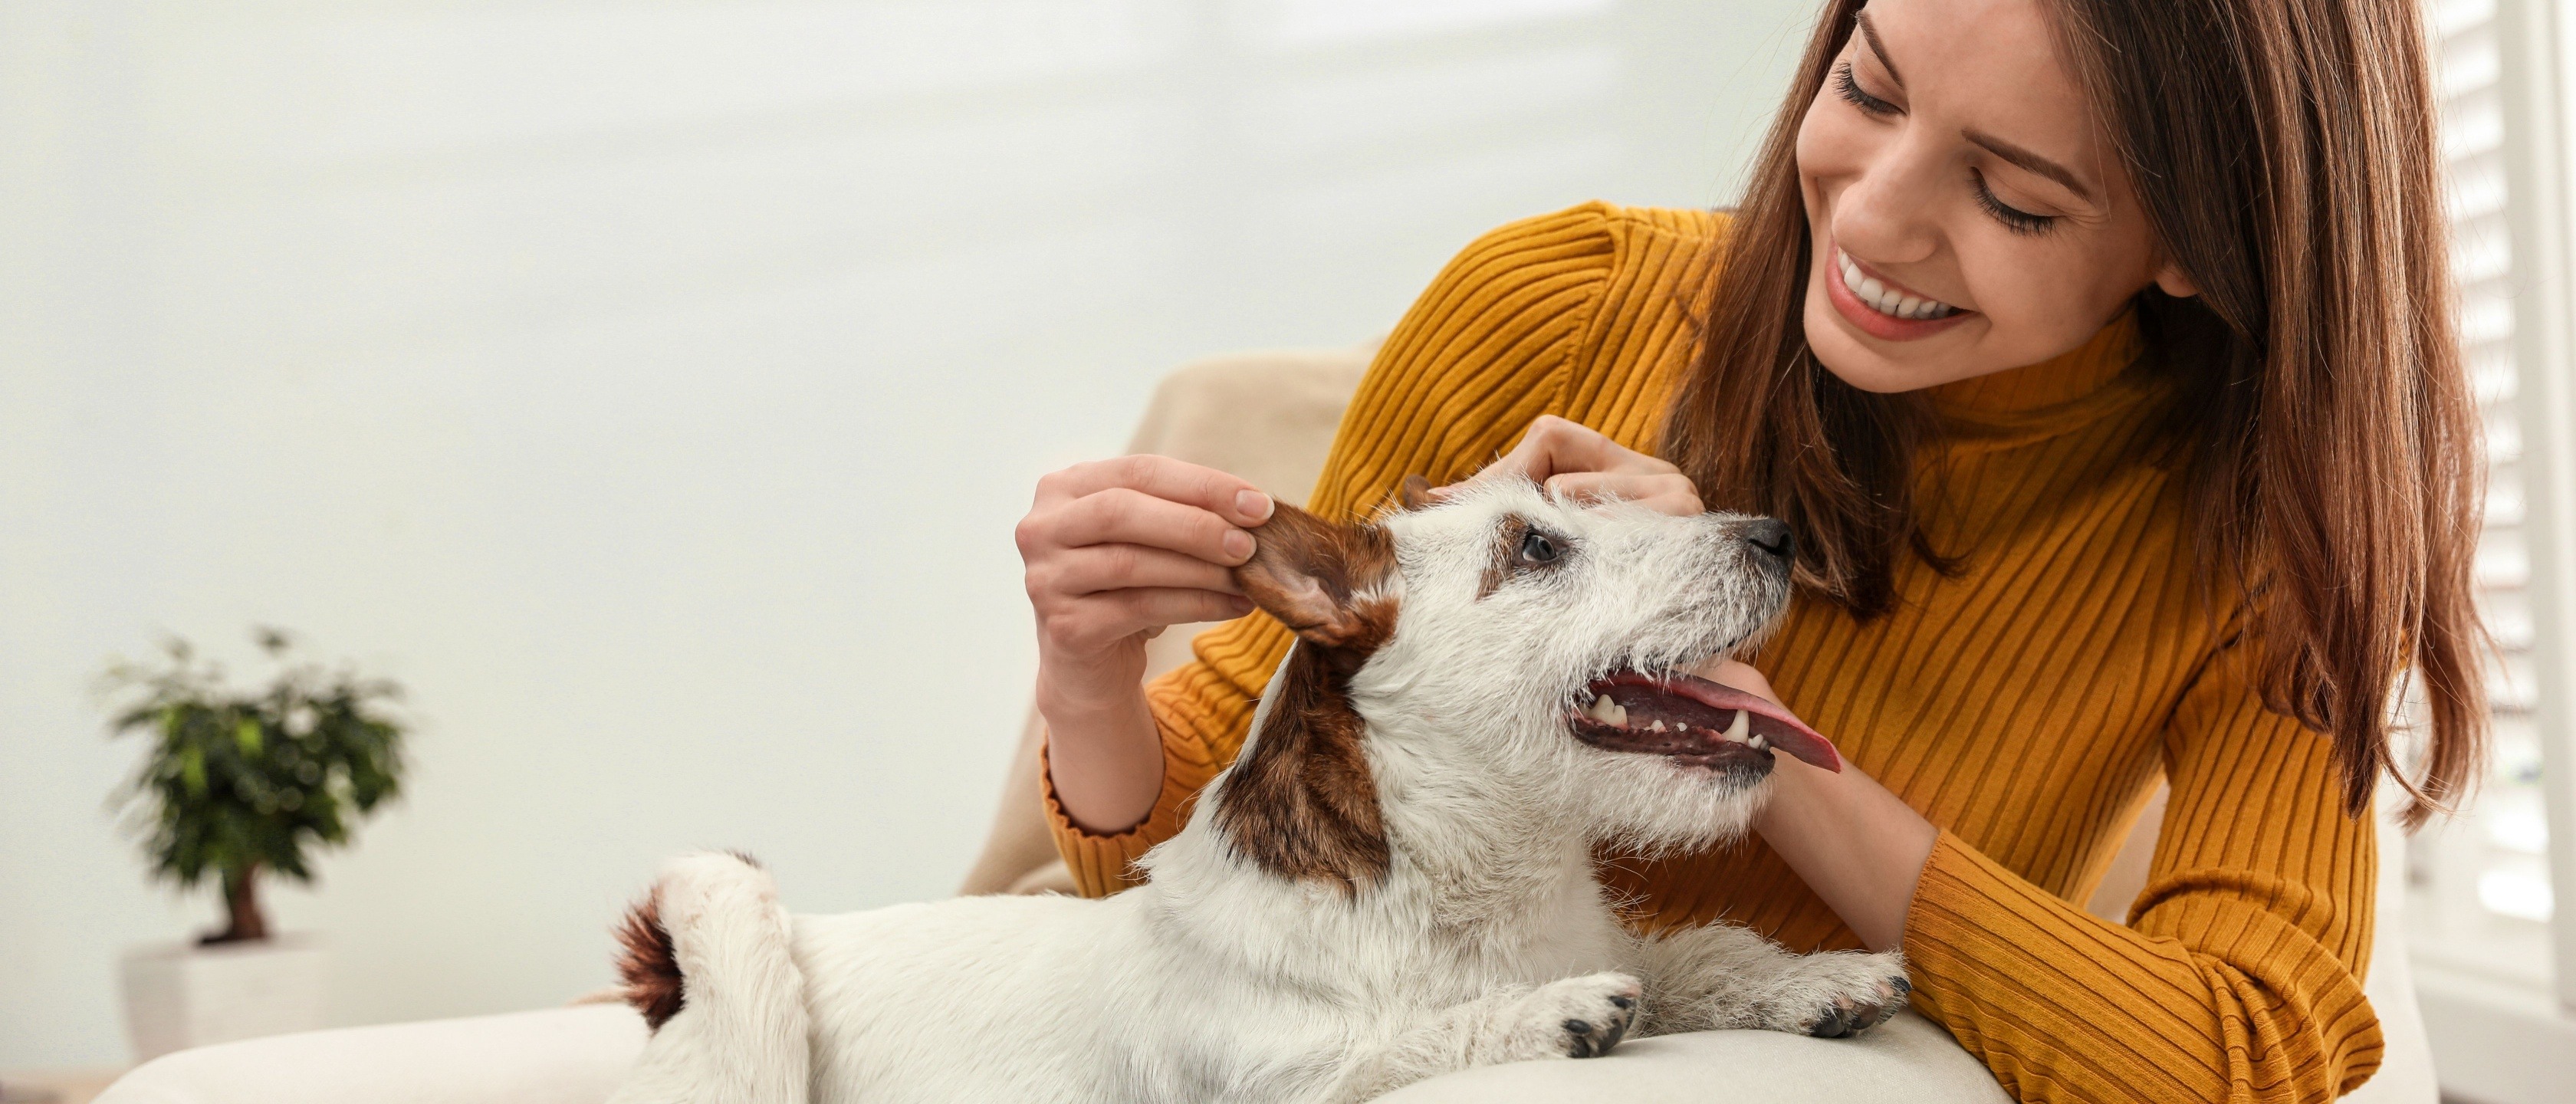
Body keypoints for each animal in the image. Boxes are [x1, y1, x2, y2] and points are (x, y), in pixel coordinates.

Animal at [603, 475, 1916, 1101]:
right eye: (1537, 548)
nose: (1777, 536)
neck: (1467, 886)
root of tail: (672, 979)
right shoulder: (1280, 1077)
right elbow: (1402, 1045)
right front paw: (1549, 1015)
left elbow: (1700, 956)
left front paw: (1817, 979)